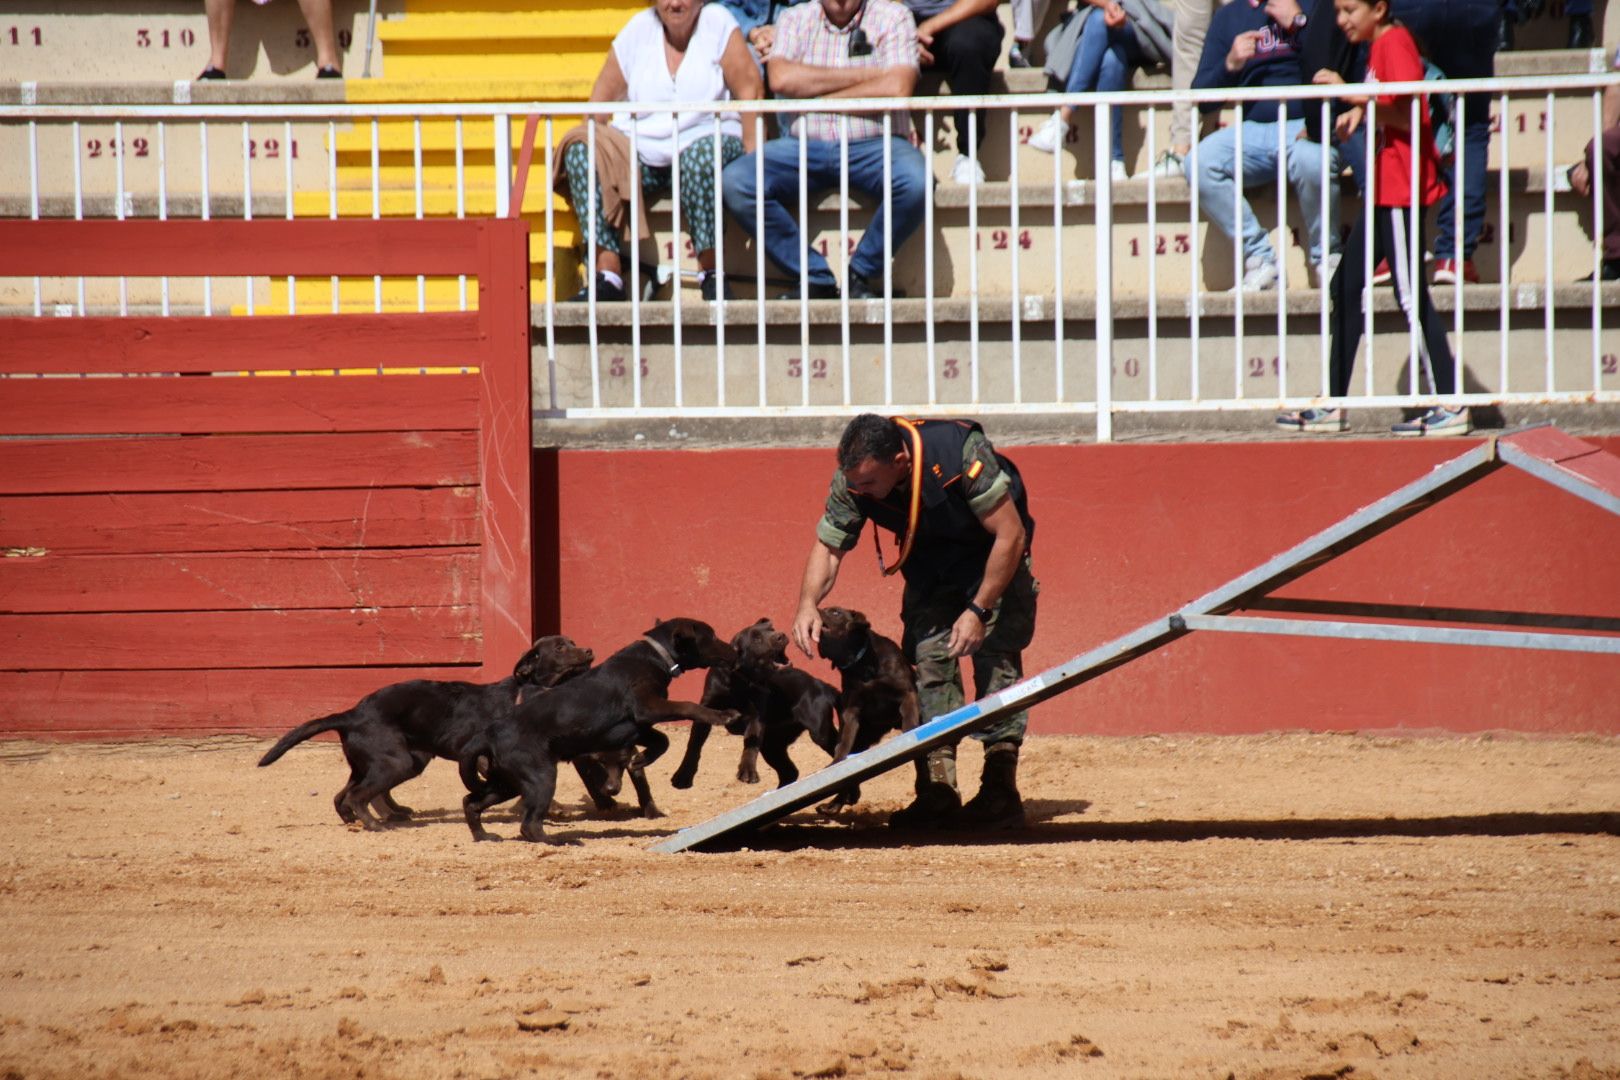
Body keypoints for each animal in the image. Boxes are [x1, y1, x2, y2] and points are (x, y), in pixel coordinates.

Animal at [670, 621, 842, 790]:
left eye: (771, 629)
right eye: (756, 639)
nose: (781, 635)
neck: (738, 682)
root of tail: (820, 683)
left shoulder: (756, 717)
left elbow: (750, 745)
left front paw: (747, 772)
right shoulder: (706, 712)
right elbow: (693, 745)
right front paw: (683, 775)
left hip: (820, 732)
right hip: (772, 745)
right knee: (790, 771)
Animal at [816, 608, 920, 809]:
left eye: (835, 612)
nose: (813, 610)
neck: (861, 666)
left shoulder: (906, 693)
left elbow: (909, 719)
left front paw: (910, 733)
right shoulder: (851, 711)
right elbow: (843, 746)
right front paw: (835, 763)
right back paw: (834, 805)